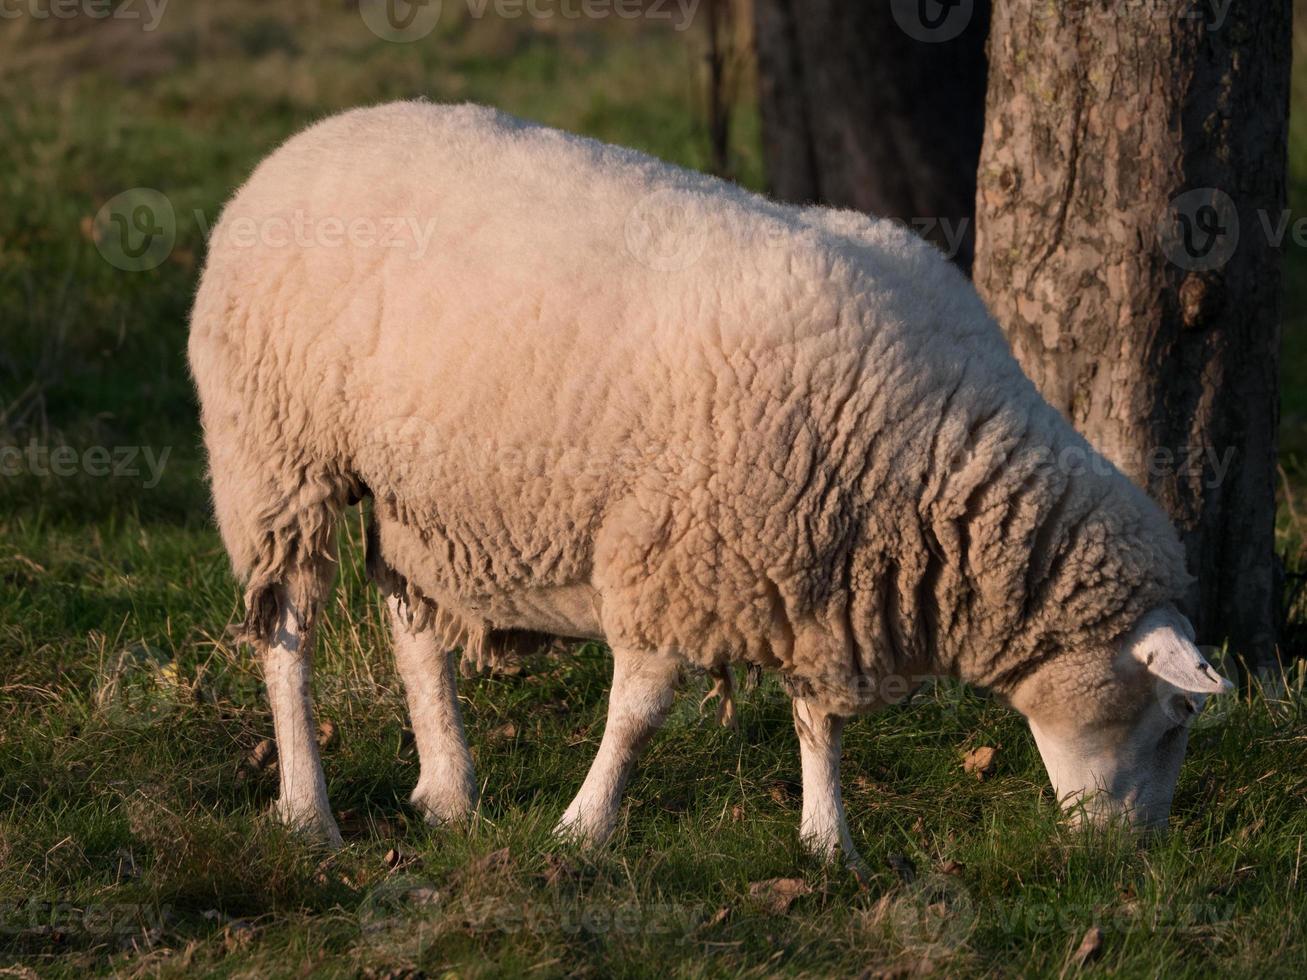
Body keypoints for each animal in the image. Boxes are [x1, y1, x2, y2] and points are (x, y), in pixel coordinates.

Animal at [189, 101, 1228, 867]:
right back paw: (307, 812)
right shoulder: (673, 557)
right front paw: (584, 828)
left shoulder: (818, 566)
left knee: (410, 624)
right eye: (1178, 713)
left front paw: (828, 844)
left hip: (420, 494)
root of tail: (303, 143)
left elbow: (818, 721)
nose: (1133, 858)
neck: (935, 454)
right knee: (287, 639)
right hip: (274, 458)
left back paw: (447, 788)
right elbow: (638, 714)